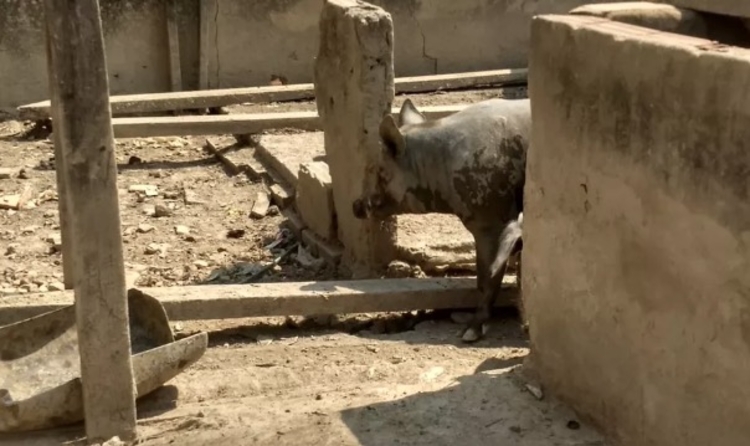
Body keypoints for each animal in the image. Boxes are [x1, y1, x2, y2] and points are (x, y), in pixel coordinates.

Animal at [352, 96, 528, 342]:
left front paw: (469, 333)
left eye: (379, 171)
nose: (355, 205)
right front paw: (460, 319)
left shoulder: (494, 221)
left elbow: (487, 276)